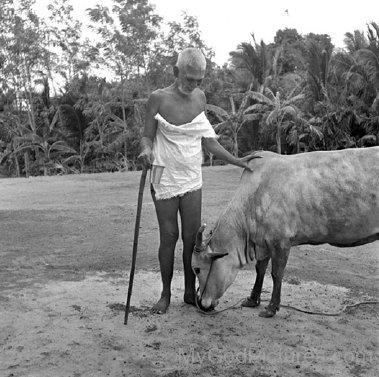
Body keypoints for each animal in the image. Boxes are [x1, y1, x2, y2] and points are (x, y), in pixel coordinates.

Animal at [193, 147, 379, 318]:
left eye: (196, 269)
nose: (201, 303)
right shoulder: (263, 242)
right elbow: (260, 269)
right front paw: (253, 299)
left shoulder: (280, 242)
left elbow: (276, 274)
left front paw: (271, 308)